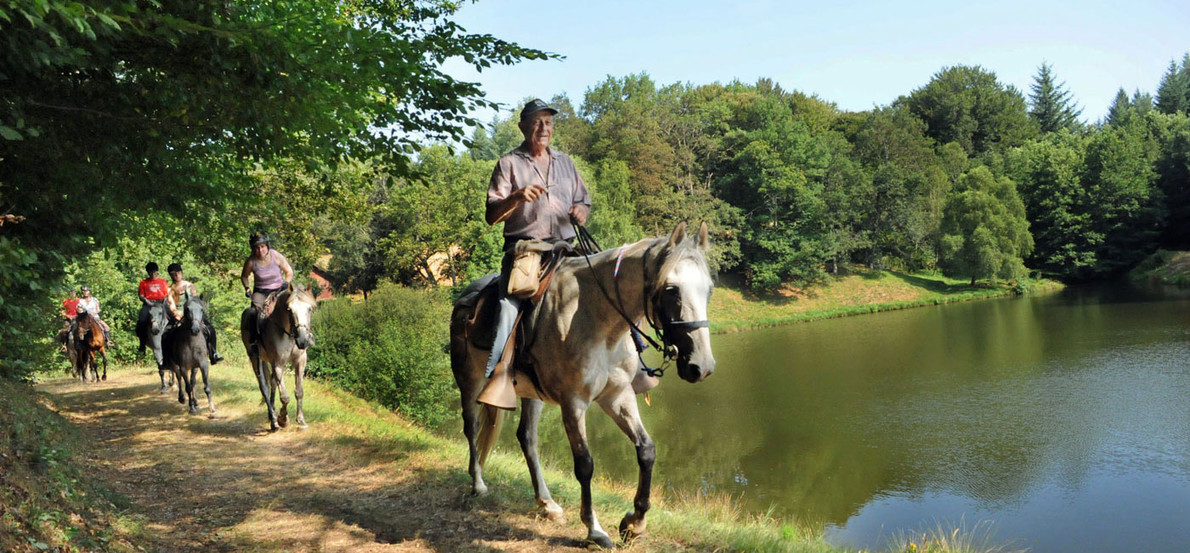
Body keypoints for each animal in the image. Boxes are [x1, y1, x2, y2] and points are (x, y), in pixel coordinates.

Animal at [239, 284, 316, 430]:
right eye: (289, 309)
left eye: (309, 309)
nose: (303, 340)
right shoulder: (278, 363)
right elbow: (285, 397)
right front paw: (283, 419)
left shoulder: (300, 361)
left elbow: (299, 392)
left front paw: (301, 420)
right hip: (255, 357)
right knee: (264, 386)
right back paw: (274, 421)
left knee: (273, 383)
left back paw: (272, 415)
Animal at [449, 221, 714, 547]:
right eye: (671, 289)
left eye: (709, 290)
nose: (701, 366)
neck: (596, 318)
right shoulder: (573, 402)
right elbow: (585, 464)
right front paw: (594, 529)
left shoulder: (618, 396)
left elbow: (647, 450)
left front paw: (634, 523)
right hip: (469, 381)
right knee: (471, 427)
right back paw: (478, 484)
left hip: (532, 393)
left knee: (527, 438)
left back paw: (547, 503)